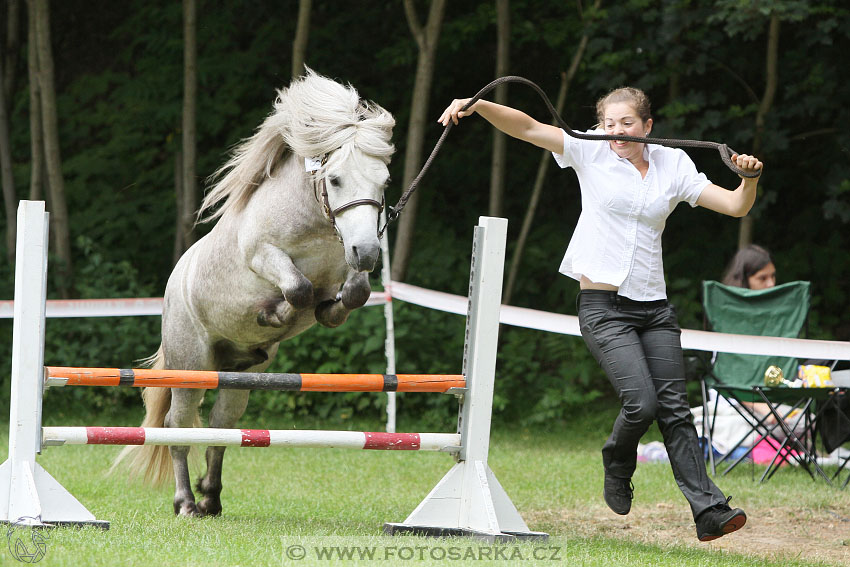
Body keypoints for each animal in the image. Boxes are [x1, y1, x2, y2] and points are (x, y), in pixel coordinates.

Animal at [114, 69, 396, 516]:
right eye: (335, 179)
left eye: (382, 181)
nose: (368, 252)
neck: (315, 222)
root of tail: (173, 286)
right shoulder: (263, 255)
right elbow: (298, 289)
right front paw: (276, 314)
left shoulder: (348, 262)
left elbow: (352, 295)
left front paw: (325, 309)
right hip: (191, 366)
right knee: (178, 427)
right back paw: (186, 502)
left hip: (238, 378)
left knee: (221, 427)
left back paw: (210, 497)